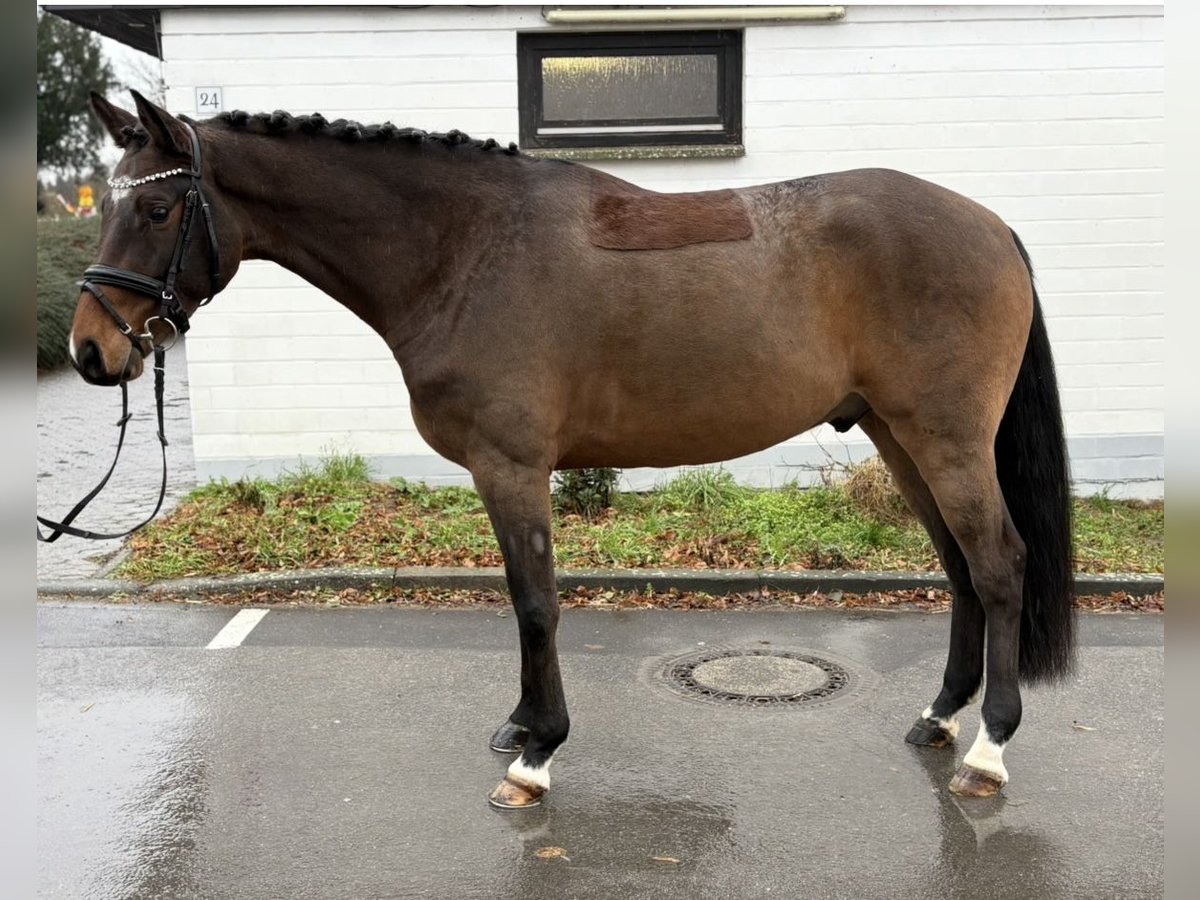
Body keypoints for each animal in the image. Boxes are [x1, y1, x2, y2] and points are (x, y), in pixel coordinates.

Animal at [69, 90, 1075, 810]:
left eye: (156, 210)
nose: (91, 350)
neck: (463, 251)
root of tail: (991, 226)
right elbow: (526, 606)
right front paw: (522, 728)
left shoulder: (511, 468)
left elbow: (535, 604)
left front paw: (536, 756)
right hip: (897, 435)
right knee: (958, 567)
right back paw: (939, 718)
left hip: (945, 438)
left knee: (998, 565)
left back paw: (989, 749)